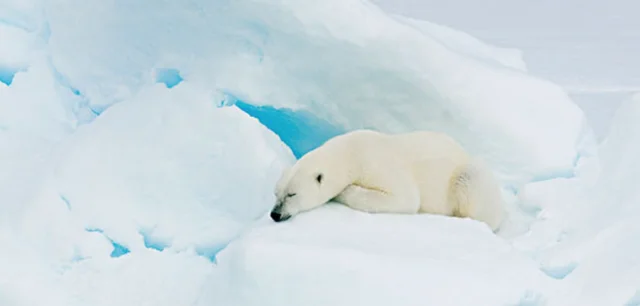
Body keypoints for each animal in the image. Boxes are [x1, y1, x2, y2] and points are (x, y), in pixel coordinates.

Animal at [268, 129, 504, 232]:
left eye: (292, 194)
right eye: (276, 193)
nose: (275, 214)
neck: (352, 151)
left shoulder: (379, 165)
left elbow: (405, 198)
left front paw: (345, 190)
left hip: (469, 175)